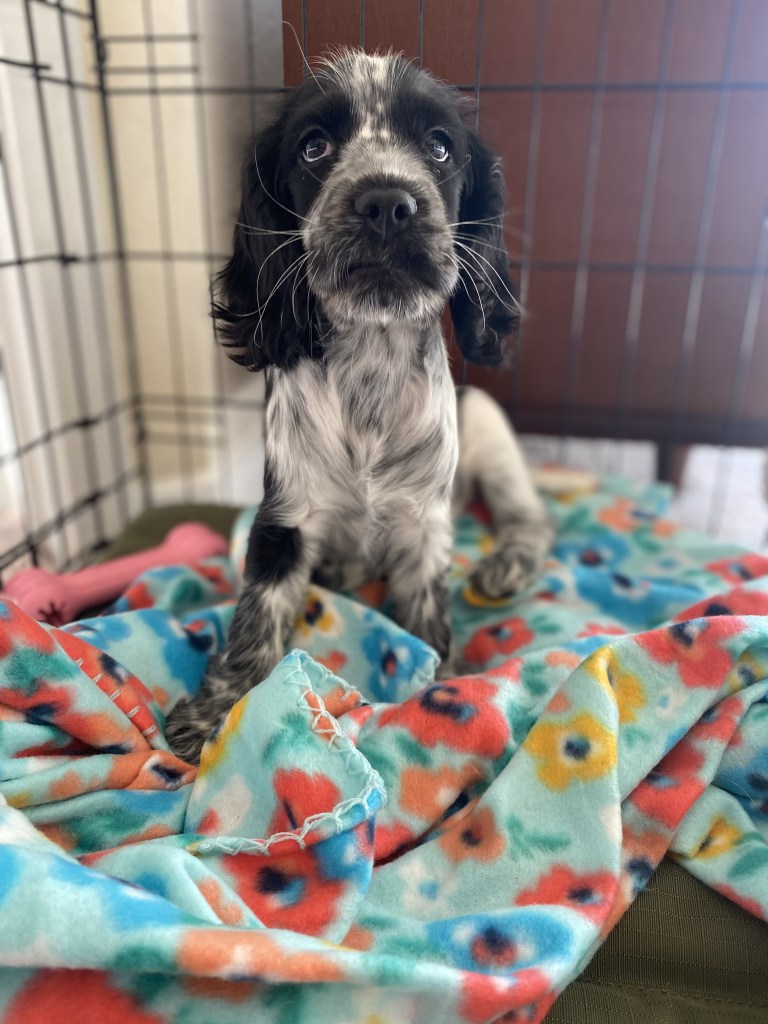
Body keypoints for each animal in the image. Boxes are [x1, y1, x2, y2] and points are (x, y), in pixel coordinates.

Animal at [165, 50, 553, 763]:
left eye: (439, 147)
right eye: (314, 147)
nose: (387, 203)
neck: (370, 360)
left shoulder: (425, 526)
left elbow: (427, 618)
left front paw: (445, 685)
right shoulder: (284, 518)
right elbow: (256, 615)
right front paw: (216, 713)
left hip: (490, 429)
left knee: (531, 519)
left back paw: (505, 564)